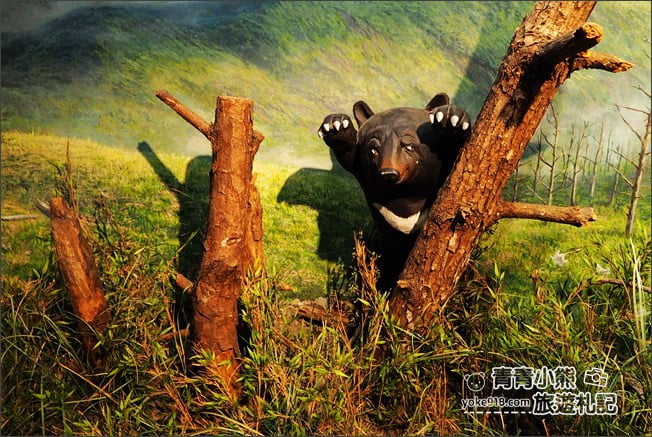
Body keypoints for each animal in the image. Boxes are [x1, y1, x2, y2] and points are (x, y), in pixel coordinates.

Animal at [318, 93, 472, 289]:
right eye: (373, 150)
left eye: (409, 146)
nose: (388, 173)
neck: (406, 196)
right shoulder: (362, 171)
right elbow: (350, 156)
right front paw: (335, 125)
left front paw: (451, 118)